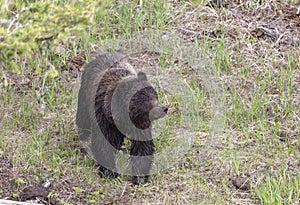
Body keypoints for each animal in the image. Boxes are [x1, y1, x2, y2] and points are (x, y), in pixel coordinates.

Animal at [76, 52, 168, 185]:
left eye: (155, 96)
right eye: (147, 100)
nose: (164, 109)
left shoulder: (139, 126)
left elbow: (142, 147)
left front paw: (139, 178)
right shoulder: (103, 119)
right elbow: (103, 144)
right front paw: (109, 172)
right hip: (84, 96)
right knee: (83, 120)